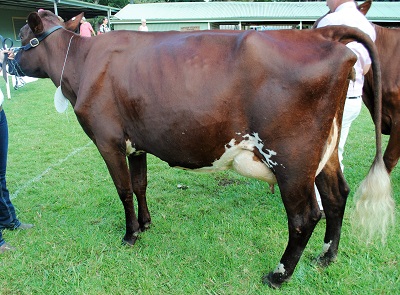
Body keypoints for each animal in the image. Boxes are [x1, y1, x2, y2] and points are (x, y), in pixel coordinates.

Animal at [6, 10, 394, 290]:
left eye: (24, 37)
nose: (8, 60)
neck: (83, 64)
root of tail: (319, 35)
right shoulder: (136, 144)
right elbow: (140, 184)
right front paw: (146, 224)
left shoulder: (108, 140)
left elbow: (123, 189)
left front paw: (130, 234)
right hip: (326, 151)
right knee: (336, 196)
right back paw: (327, 257)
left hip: (291, 158)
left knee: (304, 216)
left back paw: (278, 275)